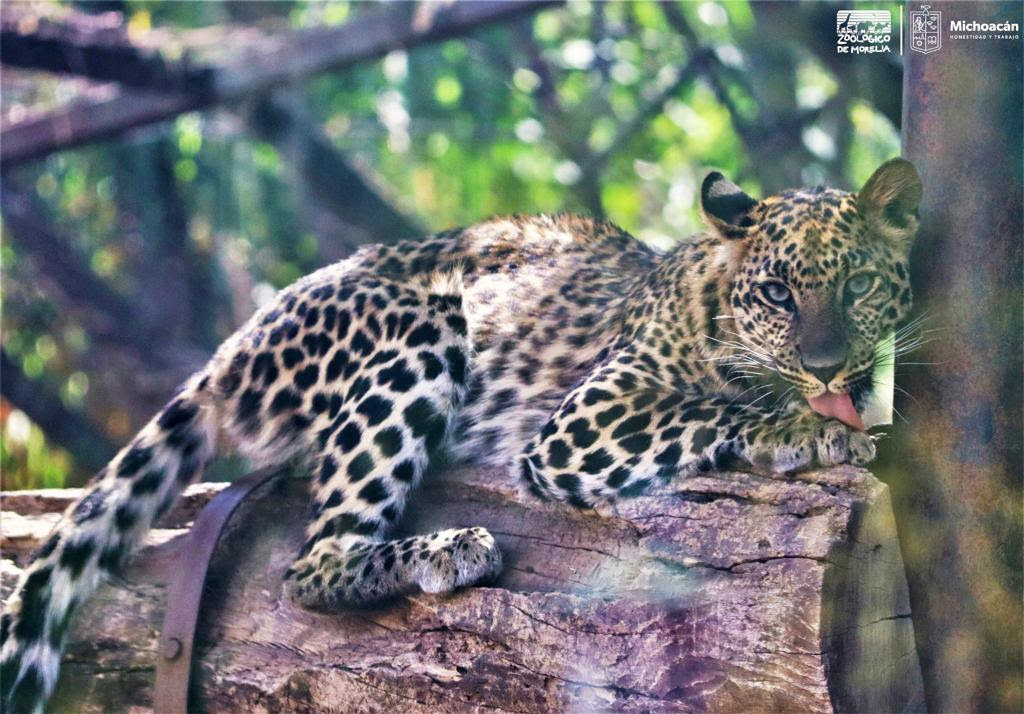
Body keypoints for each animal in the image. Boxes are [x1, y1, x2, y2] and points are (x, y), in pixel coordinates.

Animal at [0, 158, 921, 712]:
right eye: (777, 294)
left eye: (861, 285)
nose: (831, 368)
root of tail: (239, 343)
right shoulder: (579, 425)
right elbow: (707, 410)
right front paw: (803, 428)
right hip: (424, 325)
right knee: (312, 565)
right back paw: (449, 550)